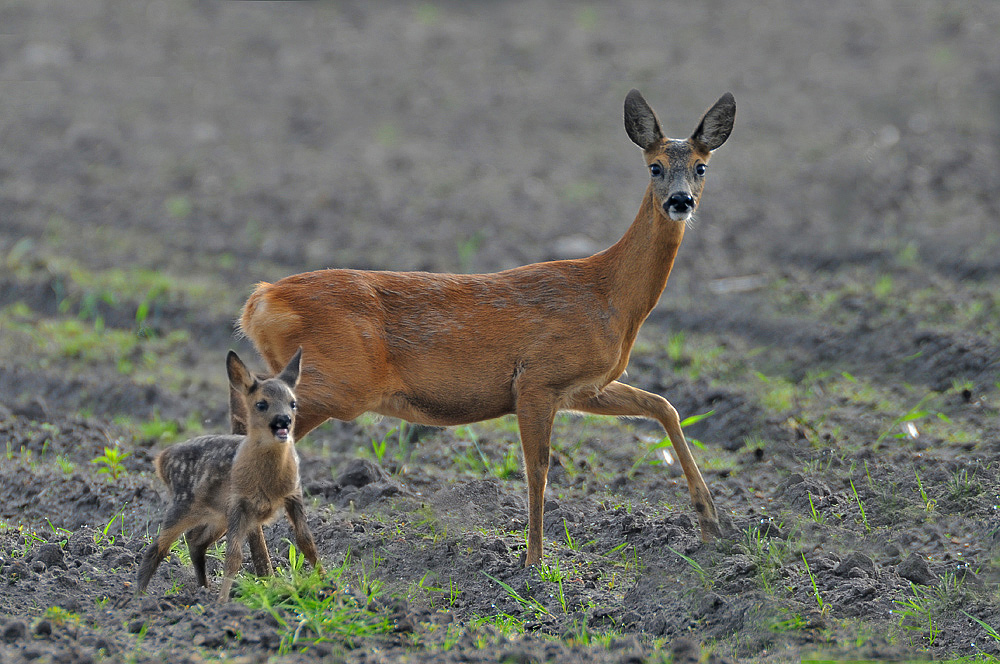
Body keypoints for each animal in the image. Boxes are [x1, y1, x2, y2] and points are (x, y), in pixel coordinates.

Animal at [137, 350, 320, 600]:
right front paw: (223, 602)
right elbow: (233, 557)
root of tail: (161, 459)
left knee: (194, 540)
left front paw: (328, 582)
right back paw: (137, 596)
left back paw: (203, 588)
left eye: (293, 403)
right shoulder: (239, 501)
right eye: (261, 404)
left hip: (217, 515)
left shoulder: (294, 495)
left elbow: (307, 542)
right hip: (183, 504)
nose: (283, 420)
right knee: (157, 547)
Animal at [234, 89, 736, 564]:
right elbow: (538, 470)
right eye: (654, 167)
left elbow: (663, 405)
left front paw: (712, 525)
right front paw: (533, 564)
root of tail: (259, 300)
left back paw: (258, 566)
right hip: (337, 383)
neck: (608, 295)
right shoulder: (537, 379)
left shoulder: (583, 387)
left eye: (701, 167)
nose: (680, 201)